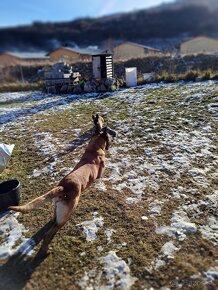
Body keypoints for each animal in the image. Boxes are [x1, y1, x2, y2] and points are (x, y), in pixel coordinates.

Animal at [9, 119, 110, 255]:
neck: (95, 148)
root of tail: (63, 187)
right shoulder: (100, 174)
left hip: (57, 209)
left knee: (53, 219)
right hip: (66, 215)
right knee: (49, 234)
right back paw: (46, 251)